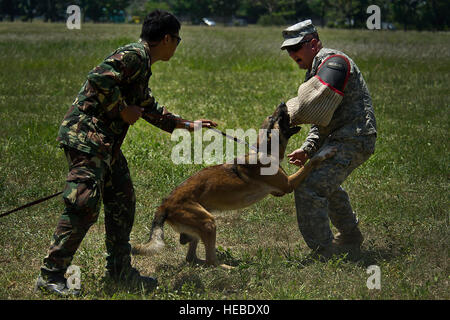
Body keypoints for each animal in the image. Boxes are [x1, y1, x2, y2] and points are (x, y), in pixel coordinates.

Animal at [132, 102, 336, 268]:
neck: (264, 152)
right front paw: (325, 152)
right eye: (273, 118)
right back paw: (229, 267)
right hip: (208, 222)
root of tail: (164, 205)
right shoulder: (288, 185)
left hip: (200, 224)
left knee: (192, 258)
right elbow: (311, 162)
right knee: (211, 261)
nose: (282, 103)